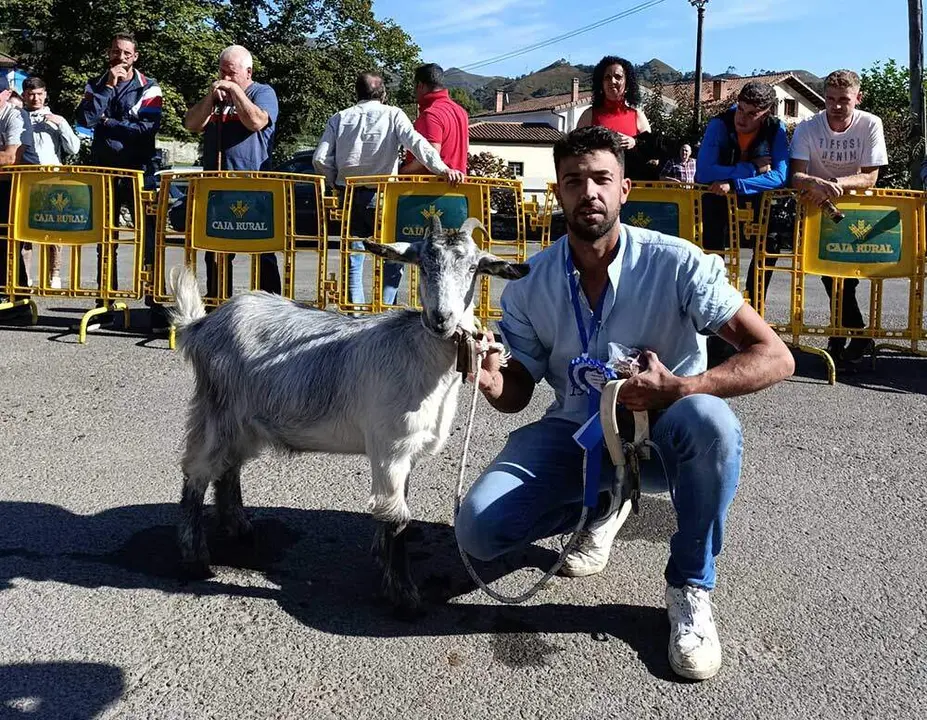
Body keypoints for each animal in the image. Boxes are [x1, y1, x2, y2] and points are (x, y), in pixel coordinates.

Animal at [167, 216, 529, 609]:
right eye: (422, 263)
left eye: (473, 268)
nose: (441, 319)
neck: (422, 353)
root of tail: (201, 327)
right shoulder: (390, 448)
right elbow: (397, 517)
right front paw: (403, 596)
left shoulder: (404, 453)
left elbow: (394, 507)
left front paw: (382, 560)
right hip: (216, 412)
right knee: (198, 472)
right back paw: (194, 557)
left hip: (245, 423)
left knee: (228, 469)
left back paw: (239, 527)